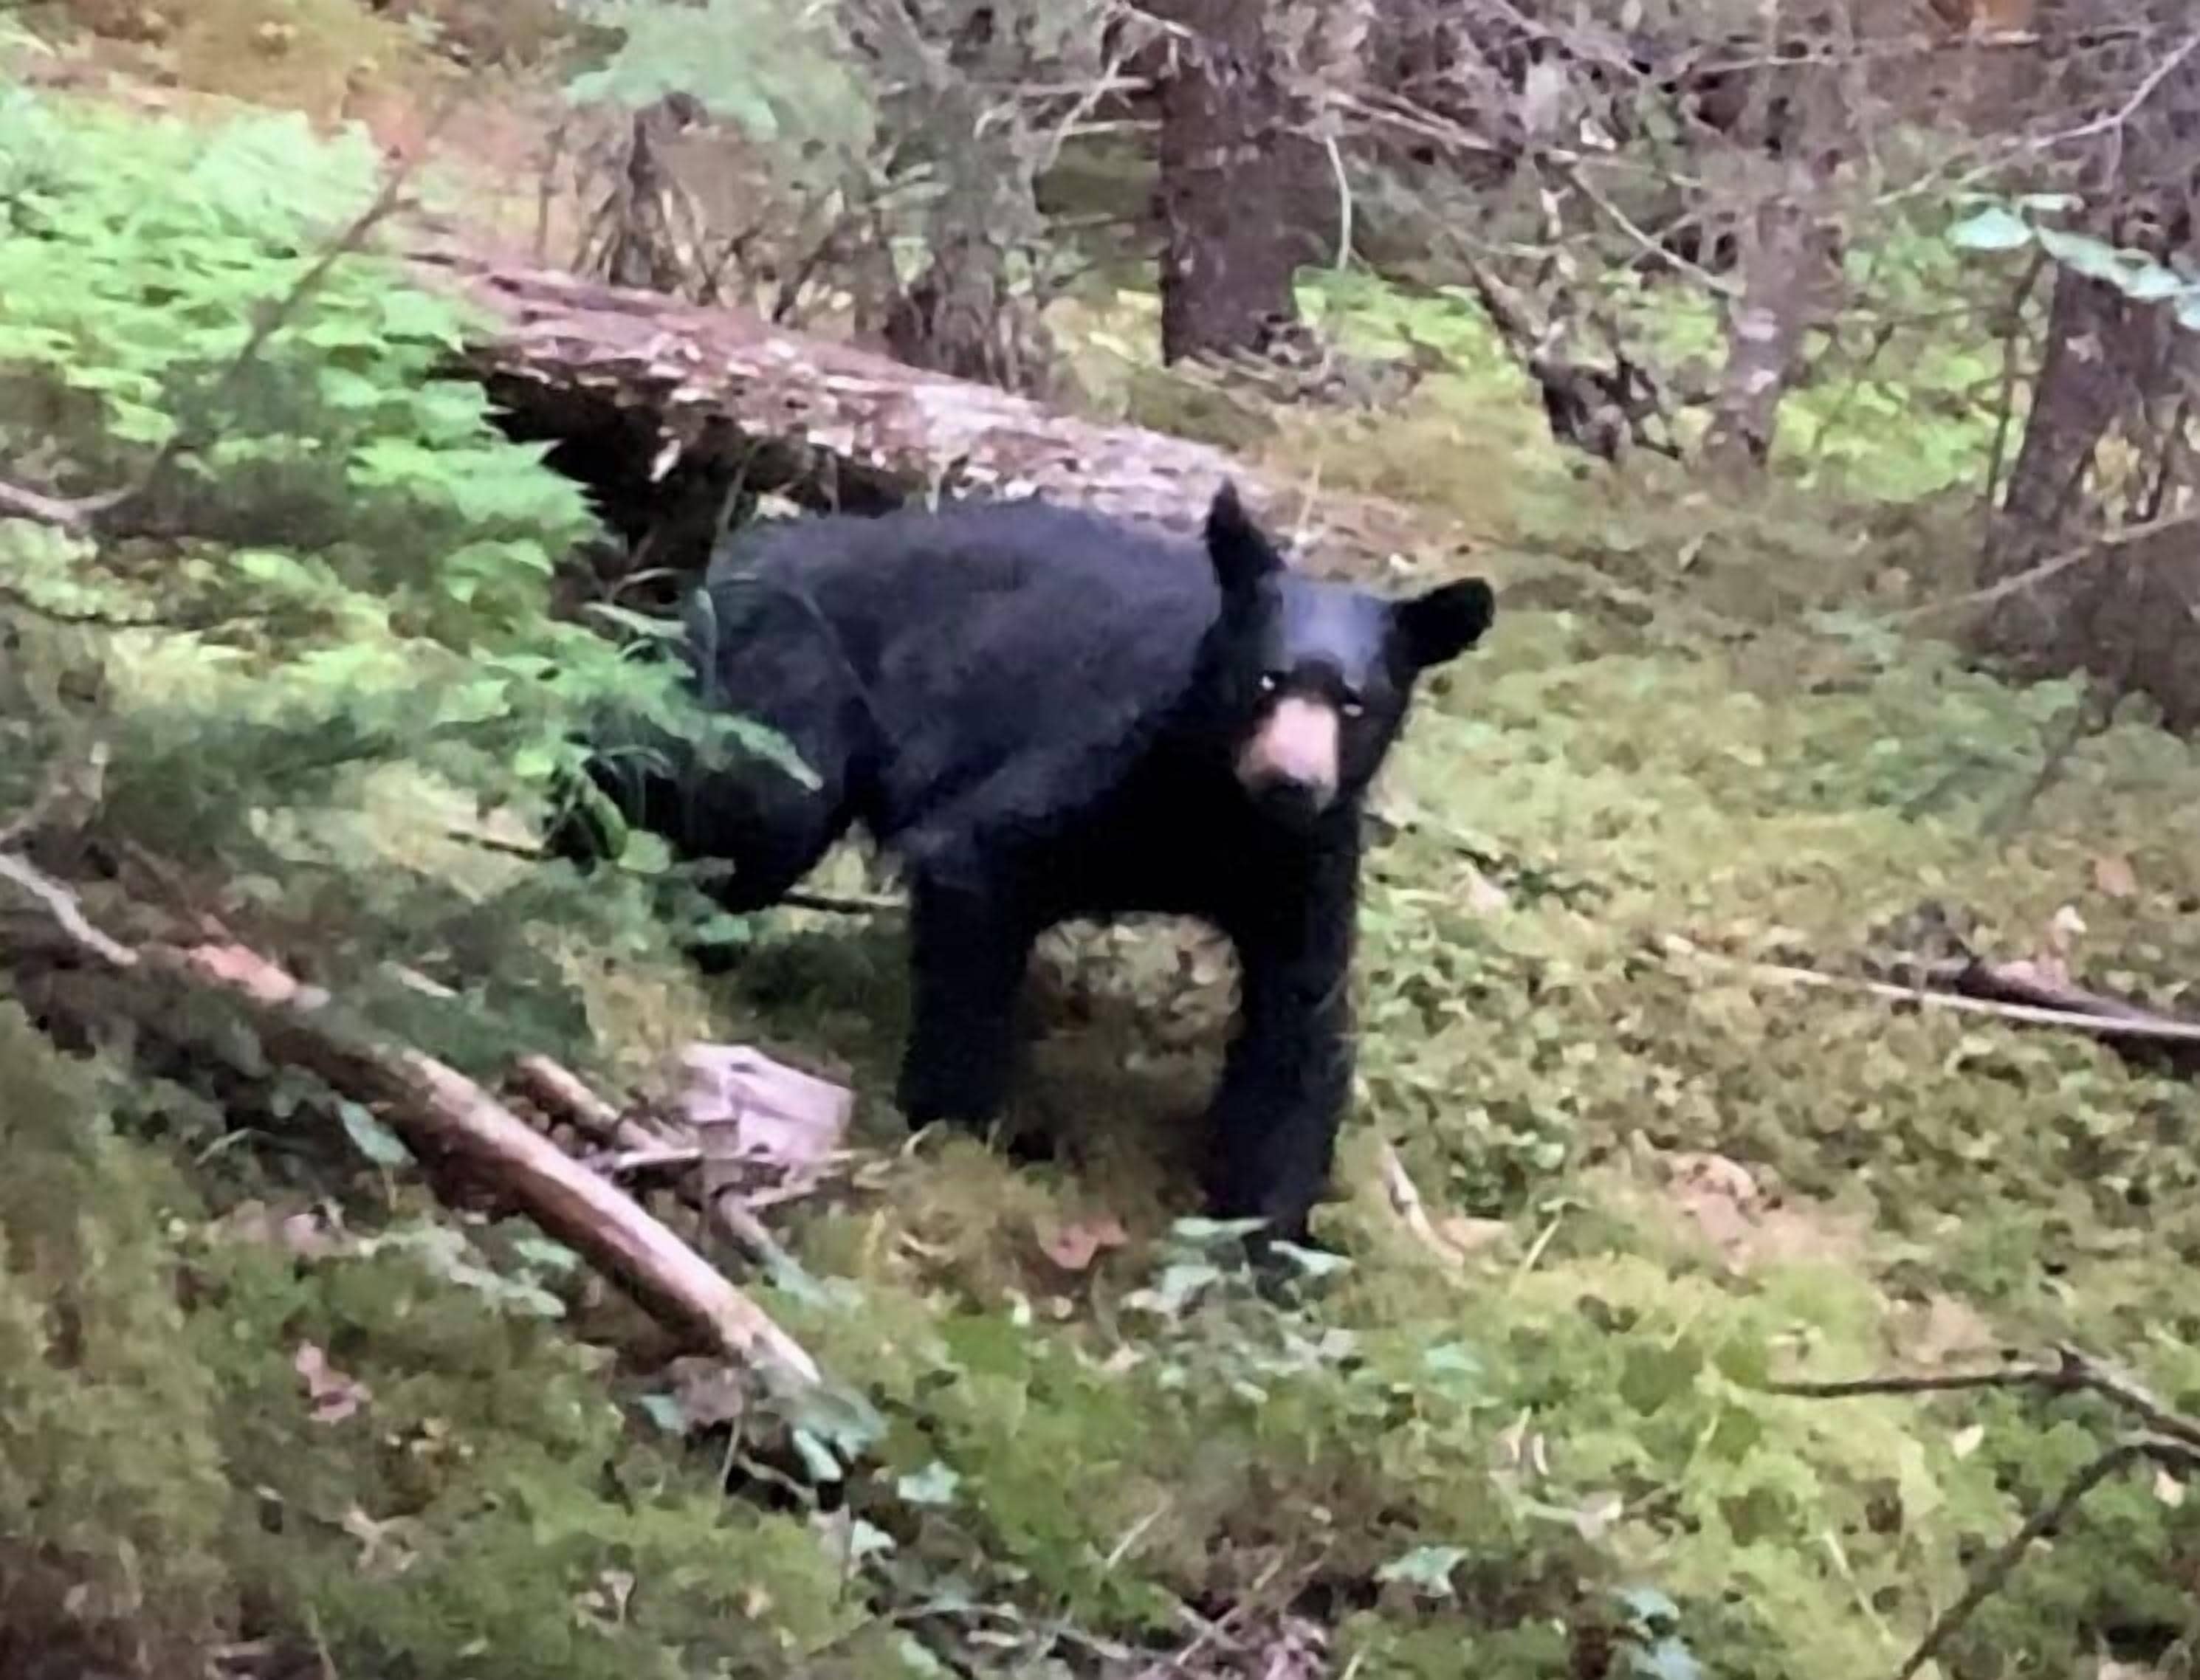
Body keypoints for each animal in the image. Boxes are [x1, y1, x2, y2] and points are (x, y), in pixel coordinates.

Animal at [549, 482, 1495, 1247]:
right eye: (1267, 681)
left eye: (1353, 703)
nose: (1290, 779)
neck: (1214, 811)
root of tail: (739, 552)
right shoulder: (1105, 762)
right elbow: (975, 867)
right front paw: (964, 1122)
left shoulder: (1302, 861)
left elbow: (1298, 1030)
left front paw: (1267, 1240)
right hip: (787, 683)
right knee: (722, 794)